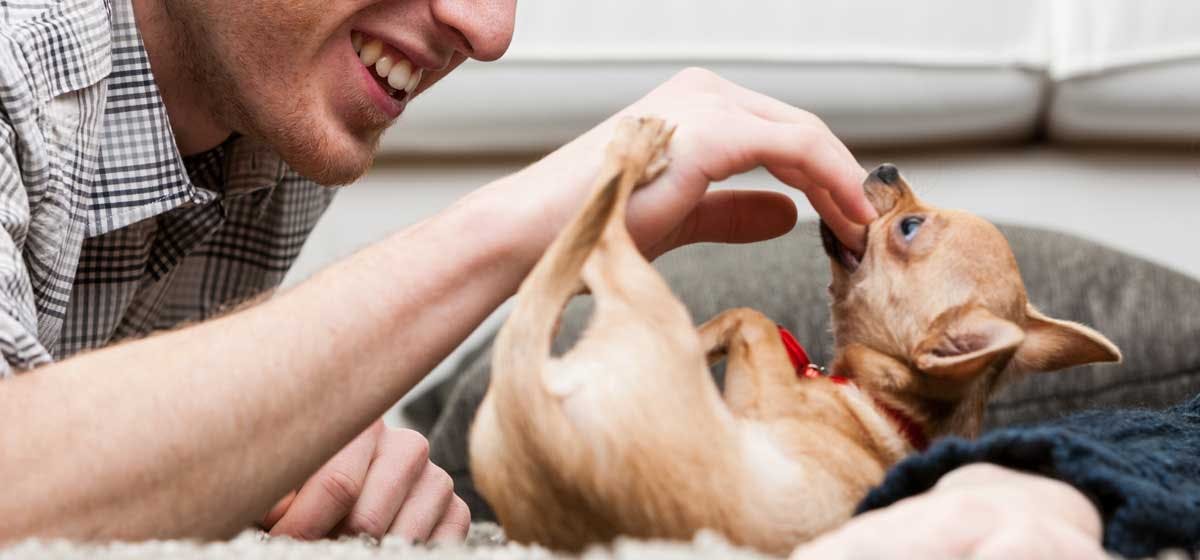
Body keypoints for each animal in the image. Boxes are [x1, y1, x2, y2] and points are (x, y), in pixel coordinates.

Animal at [465, 118, 1113, 556]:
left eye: (908, 228)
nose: (888, 169)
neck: (883, 404)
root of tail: (534, 415)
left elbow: (749, 316)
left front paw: (707, 340)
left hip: (641, 295)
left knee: (601, 236)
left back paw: (633, 152)